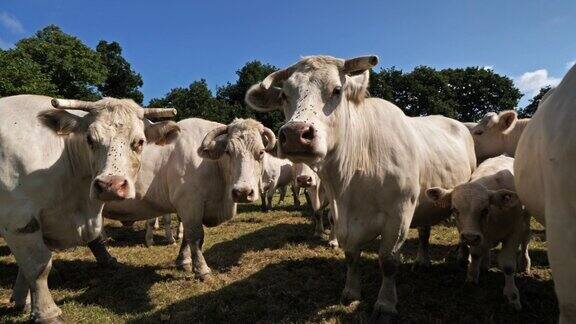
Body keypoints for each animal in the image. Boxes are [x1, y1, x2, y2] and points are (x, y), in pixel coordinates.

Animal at [0, 93, 179, 322]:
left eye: (140, 142)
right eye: (90, 140)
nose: (110, 185)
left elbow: (26, 267)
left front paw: (23, 301)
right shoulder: (19, 218)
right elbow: (38, 266)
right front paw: (47, 313)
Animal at [89, 118, 276, 278]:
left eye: (260, 152)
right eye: (228, 152)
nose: (242, 192)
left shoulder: (190, 208)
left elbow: (187, 235)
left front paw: (184, 261)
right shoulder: (189, 203)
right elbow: (195, 235)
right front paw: (202, 270)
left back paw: (107, 261)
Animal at [245, 55, 474, 318]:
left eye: (337, 90)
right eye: (284, 95)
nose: (295, 133)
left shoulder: (399, 213)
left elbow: (388, 261)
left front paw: (385, 303)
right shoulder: (342, 215)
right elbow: (351, 254)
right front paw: (351, 292)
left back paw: (463, 259)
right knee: (425, 231)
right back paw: (422, 260)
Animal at [426, 156, 528, 312]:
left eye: (484, 210)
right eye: (455, 209)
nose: (469, 236)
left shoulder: (514, 232)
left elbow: (508, 265)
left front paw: (512, 296)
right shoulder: (475, 235)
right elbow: (475, 254)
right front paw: (472, 277)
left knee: (526, 239)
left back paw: (525, 262)